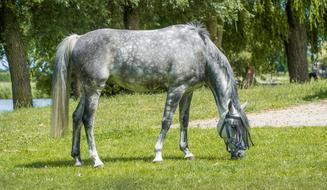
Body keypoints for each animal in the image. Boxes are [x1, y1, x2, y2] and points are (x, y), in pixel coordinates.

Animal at [51, 22, 254, 168]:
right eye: (234, 126)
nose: (240, 153)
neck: (199, 51)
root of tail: (78, 39)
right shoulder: (176, 89)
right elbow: (166, 121)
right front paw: (158, 154)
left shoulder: (187, 91)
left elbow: (184, 120)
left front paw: (187, 152)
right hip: (94, 88)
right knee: (88, 120)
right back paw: (96, 160)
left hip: (86, 91)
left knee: (77, 117)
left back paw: (77, 159)